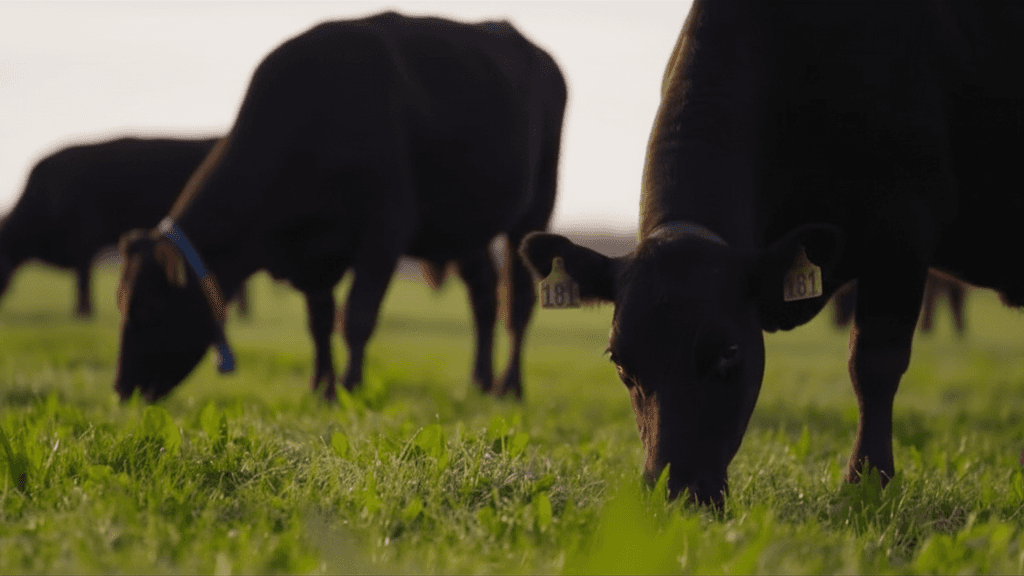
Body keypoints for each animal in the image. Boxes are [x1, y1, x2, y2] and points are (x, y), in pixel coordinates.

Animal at [114, 12, 566, 403]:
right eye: (120, 303)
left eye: (147, 309)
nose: (121, 389)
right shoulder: (313, 251)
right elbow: (318, 322)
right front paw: (320, 388)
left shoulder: (386, 228)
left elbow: (356, 316)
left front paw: (349, 388)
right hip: (463, 227)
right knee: (484, 296)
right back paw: (478, 381)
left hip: (534, 211)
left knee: (518, 302)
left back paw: (509, 387)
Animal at [521, 0, 1024, 506]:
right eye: (620, 361)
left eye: (729, 351)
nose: (676, 493)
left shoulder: (904, 228)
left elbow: (873, 364)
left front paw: (866, 481)